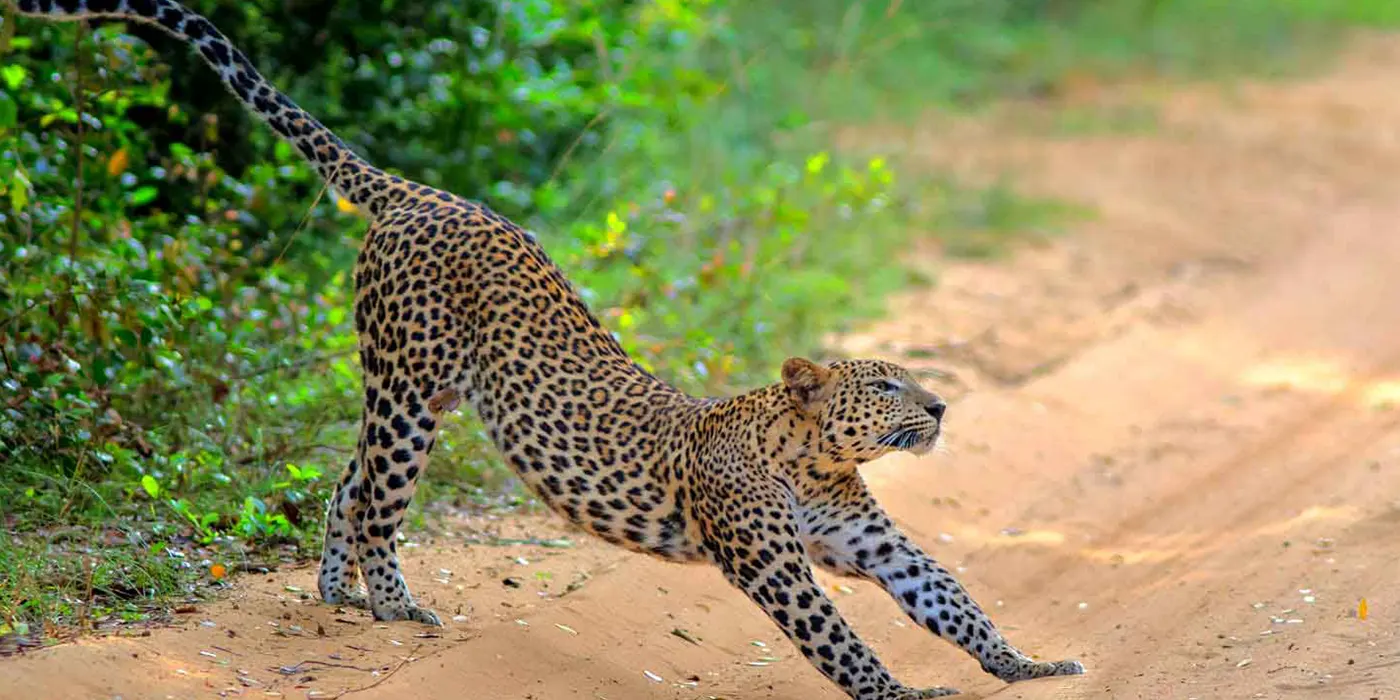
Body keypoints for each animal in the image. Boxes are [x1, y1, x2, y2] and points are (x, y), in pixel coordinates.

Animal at [13, 2, 1080, 697]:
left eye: (916, 381)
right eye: (889, 384)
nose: (940, 407)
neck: (809, 458)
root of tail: (418, 192)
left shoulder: (873, 542)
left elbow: (952, 598)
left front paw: (1029, 663)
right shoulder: (773, 561)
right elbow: (839, 638)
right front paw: (905, 693)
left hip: (415, 390)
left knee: (348, 483)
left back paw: (335, 594)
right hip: (409, 387)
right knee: (379, 502)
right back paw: (394, 607)